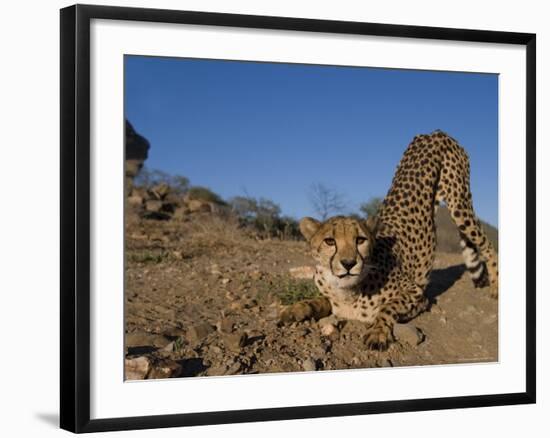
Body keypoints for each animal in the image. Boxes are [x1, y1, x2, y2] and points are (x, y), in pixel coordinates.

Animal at [280, 129, 500, 350]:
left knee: (488, 246)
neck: (347, 292)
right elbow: (317, 300)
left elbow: (387, 307)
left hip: (459, 202)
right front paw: (295, 309)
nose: (349, 263)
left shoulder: (418, 295)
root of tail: (435, 132)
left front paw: (378, 331)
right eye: (330, 241)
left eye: (360, 240)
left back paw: (496, 289)